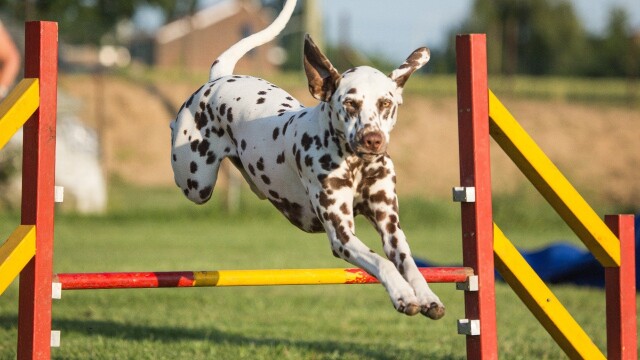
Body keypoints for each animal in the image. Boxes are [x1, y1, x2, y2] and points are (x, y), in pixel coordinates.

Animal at [171, 0, 444, 320]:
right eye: (350, 103)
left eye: (385, 103)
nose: (372, 138)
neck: (357, 165)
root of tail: (220, 77)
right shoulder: (342, 235)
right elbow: (382, 262)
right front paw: (402, 293)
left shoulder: (390, 226)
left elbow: (408, 263)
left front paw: (426, 295)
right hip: (195, 183)